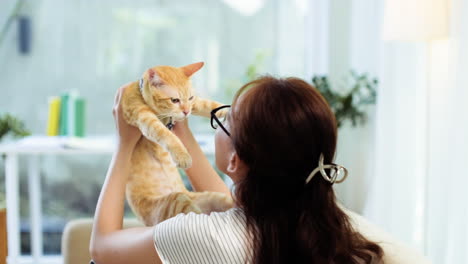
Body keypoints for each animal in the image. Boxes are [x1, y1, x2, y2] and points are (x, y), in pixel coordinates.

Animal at [122, 62, 234, 225]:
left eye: (190, 97)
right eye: (174, 100)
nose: (186, 112)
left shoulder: (195, 103)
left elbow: (208, 104)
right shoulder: (144, 117)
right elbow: (166, 135)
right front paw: (183, 156)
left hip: (214, 197)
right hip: (175, 201)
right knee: (194, 215)